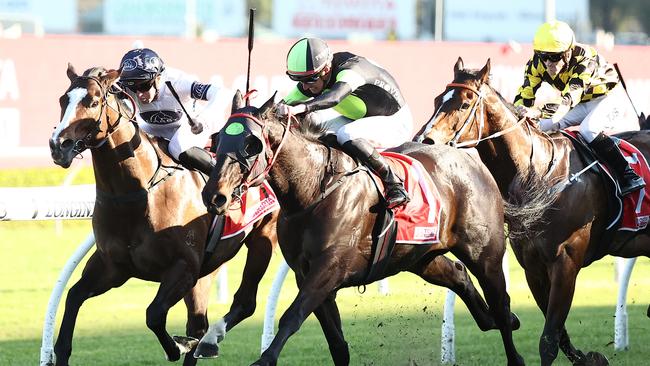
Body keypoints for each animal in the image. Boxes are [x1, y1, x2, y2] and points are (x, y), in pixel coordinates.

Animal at [47, 64, 276, 364]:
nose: (57, 145)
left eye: (93, 102)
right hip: (208, 269)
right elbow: (73, 296)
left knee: (240, 304)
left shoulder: (183, 267)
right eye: (63, 100)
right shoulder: (112, 267)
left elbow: (153, 314)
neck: (137, 193)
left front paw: (178, 346)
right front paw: (60, 351)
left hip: (262, 238)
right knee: (198, 322)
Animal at [200, 90, 524, 364]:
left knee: (500, 300)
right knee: (458, 275)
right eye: (217, 140)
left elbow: (292, 315)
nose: (214, 196)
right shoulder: (307, 274)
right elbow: (337, 343)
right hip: (419, 257)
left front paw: (265, 359)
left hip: (485, 255)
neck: (314, 189)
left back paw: (512, 345)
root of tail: (472, 160)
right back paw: (494, 319)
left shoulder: (329, 268)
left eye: (251, 144)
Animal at [416, 56, 648, 364]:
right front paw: (589, 357)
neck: (539, 175)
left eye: (465, 104)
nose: (425, 141)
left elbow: (548, 340)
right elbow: (558, 334)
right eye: (436, 100)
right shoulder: (533, 267)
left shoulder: (566, 261)